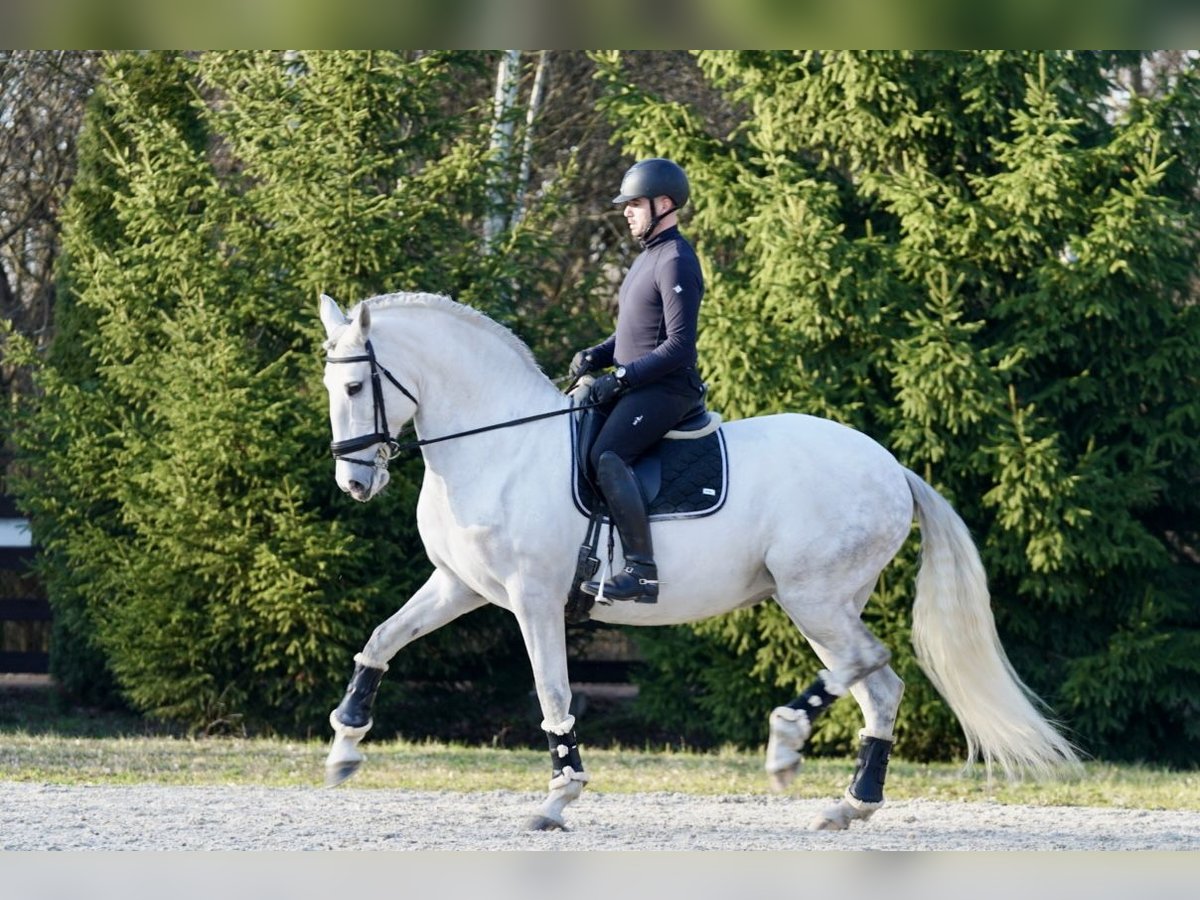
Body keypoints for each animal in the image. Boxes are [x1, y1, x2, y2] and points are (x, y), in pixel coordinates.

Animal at [316, 292, 1080, 835]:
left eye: (354, 389)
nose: (354, 483)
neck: (498, 444)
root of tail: (892, 467)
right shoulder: (459, 586)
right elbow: (382, 639)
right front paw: (345, 745)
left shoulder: (533, 598)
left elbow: (554, 693)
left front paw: (560, 797)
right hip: (823, 605)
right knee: (880, 687)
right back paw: (849, 804)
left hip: (815, 598)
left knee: (872, 664)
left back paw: (786, 741)